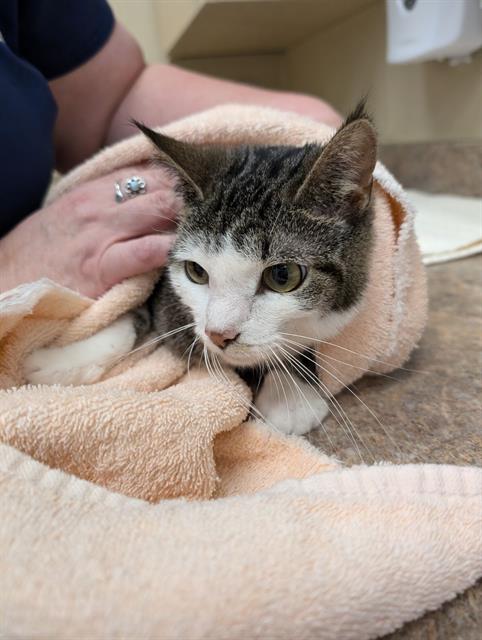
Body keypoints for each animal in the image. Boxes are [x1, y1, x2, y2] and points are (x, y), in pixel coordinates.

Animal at [23, 101, 376, 440]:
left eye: (283, 276)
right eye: (196, 271)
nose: (219, 335)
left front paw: (289, 394)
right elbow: (131, 308)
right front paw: (60, 359)